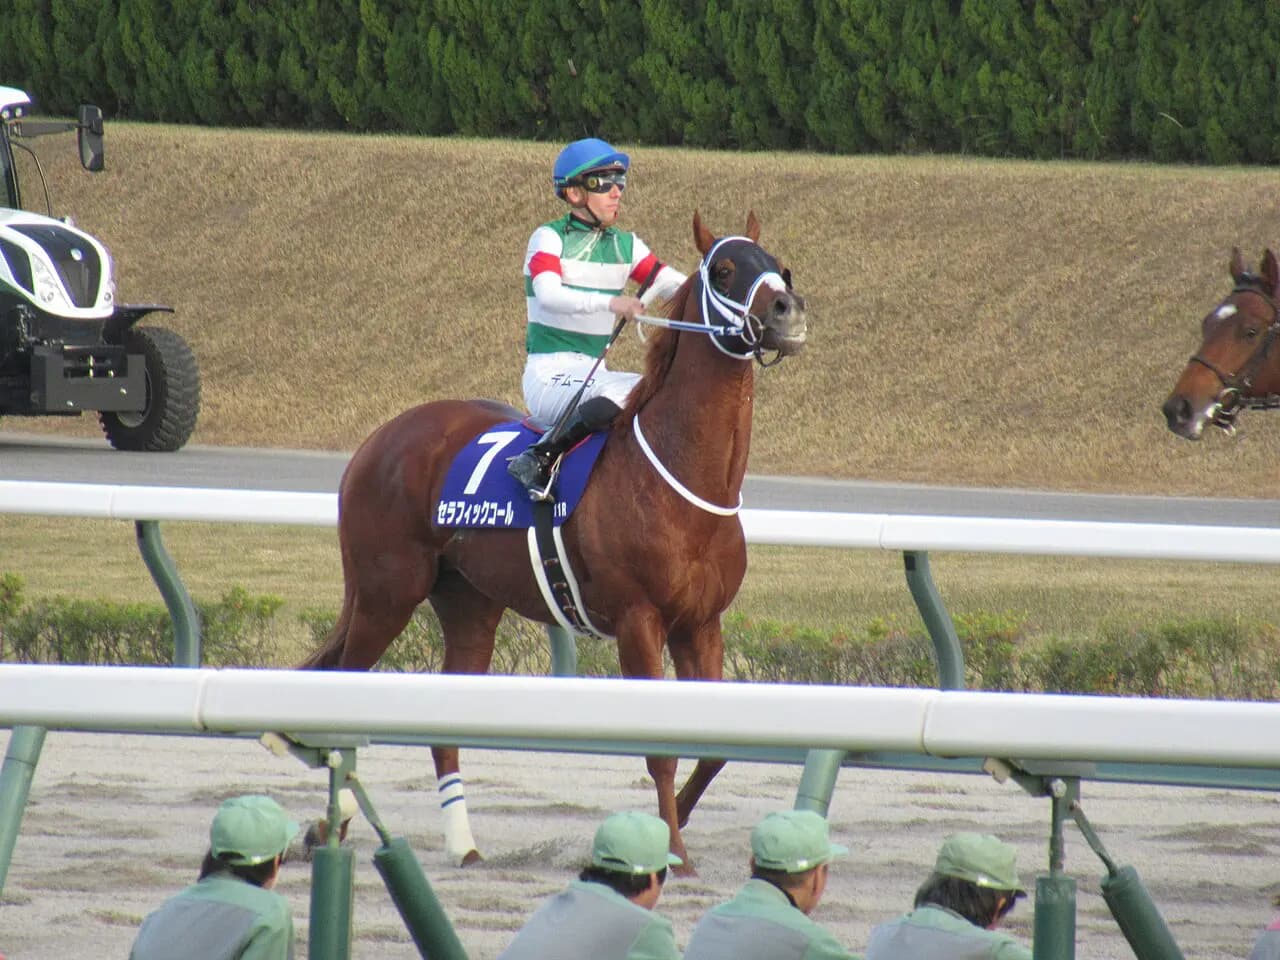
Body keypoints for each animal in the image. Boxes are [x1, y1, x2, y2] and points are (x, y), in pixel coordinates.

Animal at [300, 211, 808, 870]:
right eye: (723, 270)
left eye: (778, 265)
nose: (787, 311)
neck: (681, 475)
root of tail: (380, 437)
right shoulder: (639, 621)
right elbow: (661, 751)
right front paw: (670, 849)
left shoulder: (701, 623)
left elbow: (715, 749)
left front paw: (676, 826)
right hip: (387, 592)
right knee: (345, 689)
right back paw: (328, 825)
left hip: (468, 603)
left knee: (444, 723)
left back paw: (462, 844)